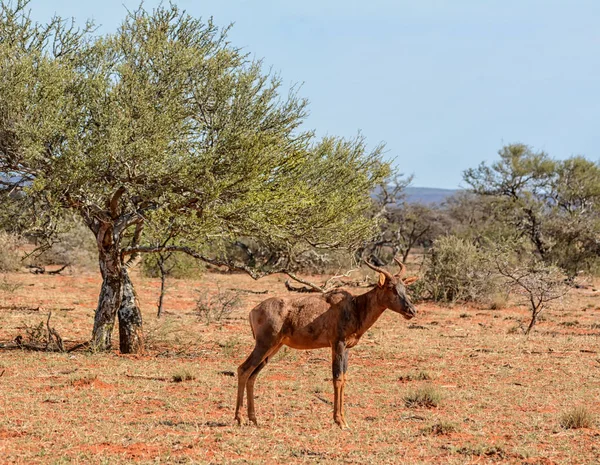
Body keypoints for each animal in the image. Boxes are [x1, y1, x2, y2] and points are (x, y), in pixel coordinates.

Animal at [234, 258, 418, 428]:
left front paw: (343, 420)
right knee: (243, 369)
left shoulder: (346, 348)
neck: (355, 306)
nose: (411, 311)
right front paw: (340, 421)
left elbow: (344, 378)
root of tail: (253, 310)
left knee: (252, 375)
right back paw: (239, 418)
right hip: (264, 344)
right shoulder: (337, 344)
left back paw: (253, 419)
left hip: (273, 347)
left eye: (404, 287)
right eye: (390, 287)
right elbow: (337, 378)